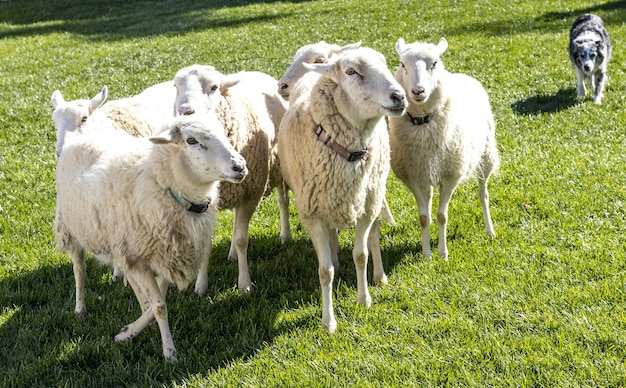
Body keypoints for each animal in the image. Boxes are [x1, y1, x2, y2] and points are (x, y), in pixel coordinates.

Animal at [54, 113, 247, 362]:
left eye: (223, 132)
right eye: (191, 140)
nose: (239, 166)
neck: (162, 184)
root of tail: (79, 135)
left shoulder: (161, 257)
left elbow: (156, 301)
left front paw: (129, 331)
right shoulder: (140, 259)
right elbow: (160, 306)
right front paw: (169, 352)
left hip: (120, 244)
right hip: (71, 228)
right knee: (79, 268)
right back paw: (80, 307)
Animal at [171, 64, 288, 294]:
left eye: (214, 87)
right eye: (176, 87)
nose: (185, 111)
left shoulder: (252, 193)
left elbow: (243, 240)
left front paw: (244, 285)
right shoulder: (206, 201)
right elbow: (206, 246)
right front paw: (201, 286)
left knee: (282, 201)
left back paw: (285, 235)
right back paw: (232, 253)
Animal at [276, 44, 404, 330]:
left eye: (385, 63)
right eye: (351, 71)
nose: (399, 96)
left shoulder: (367, 207)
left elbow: (361, 254)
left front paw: (364, 299)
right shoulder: (311, 214)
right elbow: (325, 271)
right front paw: (328, 321)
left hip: (374, 192)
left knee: (374, 235)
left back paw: (379, 276)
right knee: (331, 237)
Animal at [390, 38, 498, 260]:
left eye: (434, 63)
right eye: (403, 64)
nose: (418, 91)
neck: (423, 122)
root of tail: (463, 75)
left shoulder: (451, 176)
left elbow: (442, 216)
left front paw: (442, 254)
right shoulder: (414, 177)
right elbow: (424, 217)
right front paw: (427, 255)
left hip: (486, 155)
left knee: (483, 194)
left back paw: (490, 230)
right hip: (427, 172)